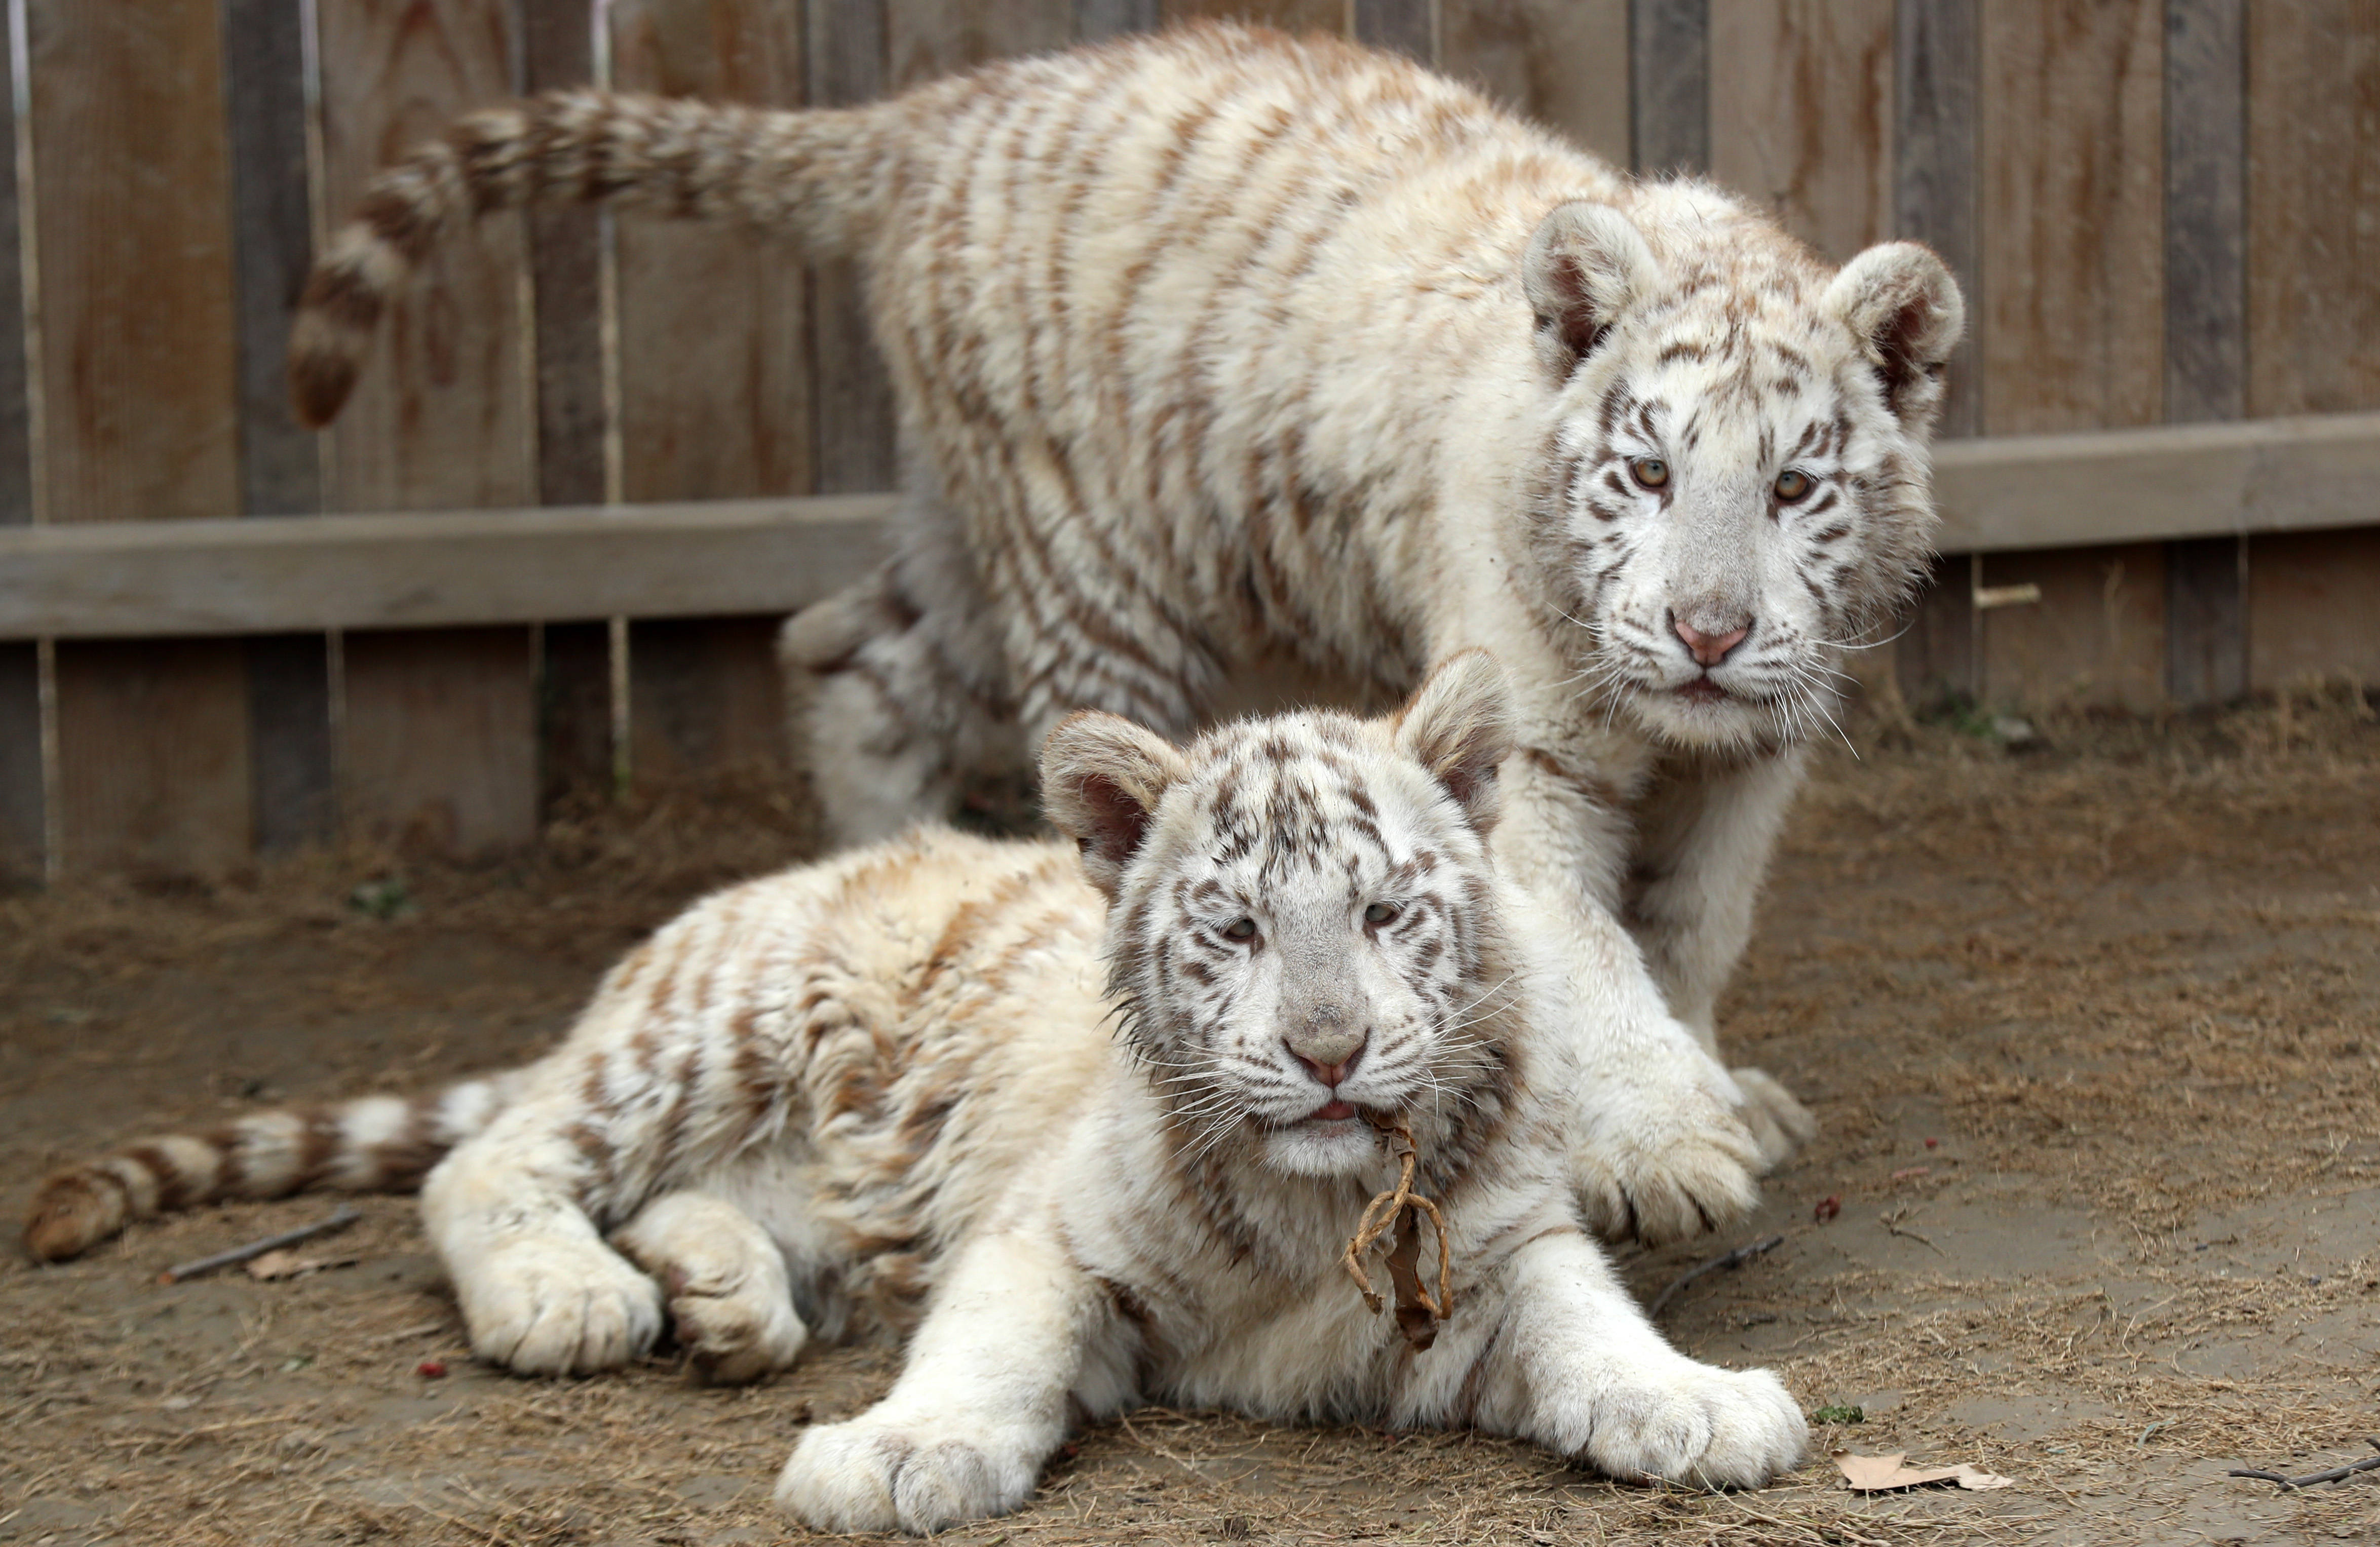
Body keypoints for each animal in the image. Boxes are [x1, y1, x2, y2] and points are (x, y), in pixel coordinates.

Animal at [28, 652, 1789, 1532]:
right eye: (1233, 927)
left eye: (1382, 913)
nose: (1330, 1051)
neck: (1315, 1201)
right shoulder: (1044, 1239)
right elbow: (992, 1346)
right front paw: (895, 1453)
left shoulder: (1501, 1247)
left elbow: (1589, 1320)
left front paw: (1696, 1403)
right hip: (709, 1028)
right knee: (492, 1164)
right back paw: (570, 1295)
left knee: (695, 1204)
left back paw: (723, 1301)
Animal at [278, 24, 1961, 1171]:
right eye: (1648, 472)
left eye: (1797, 486)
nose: (1708, 632)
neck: (1664, 718)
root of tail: (931, 119)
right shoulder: (1530, 763)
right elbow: (1594, 948)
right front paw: (1673, 1136)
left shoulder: (1748, 767)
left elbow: (1690, 937)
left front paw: (1718, 1085)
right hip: (1089, 573)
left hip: (974, 539)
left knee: (845, 655)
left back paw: (881, 886)